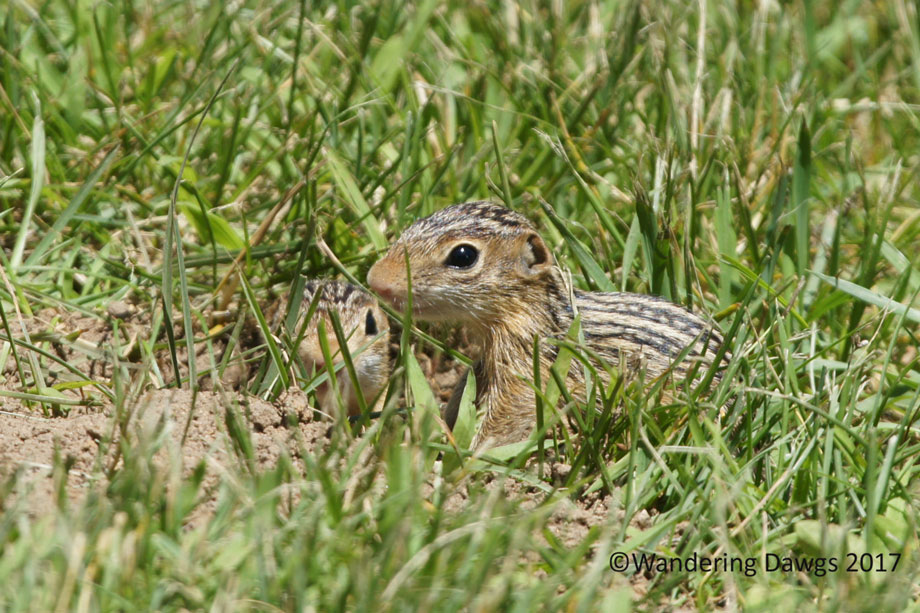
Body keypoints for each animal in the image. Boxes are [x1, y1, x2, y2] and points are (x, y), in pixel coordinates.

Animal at [367, 201, 725, 449]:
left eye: (463, 255)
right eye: (412, 227)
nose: (375, 280)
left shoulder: (526, 372)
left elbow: (505, 419)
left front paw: (465, 455)